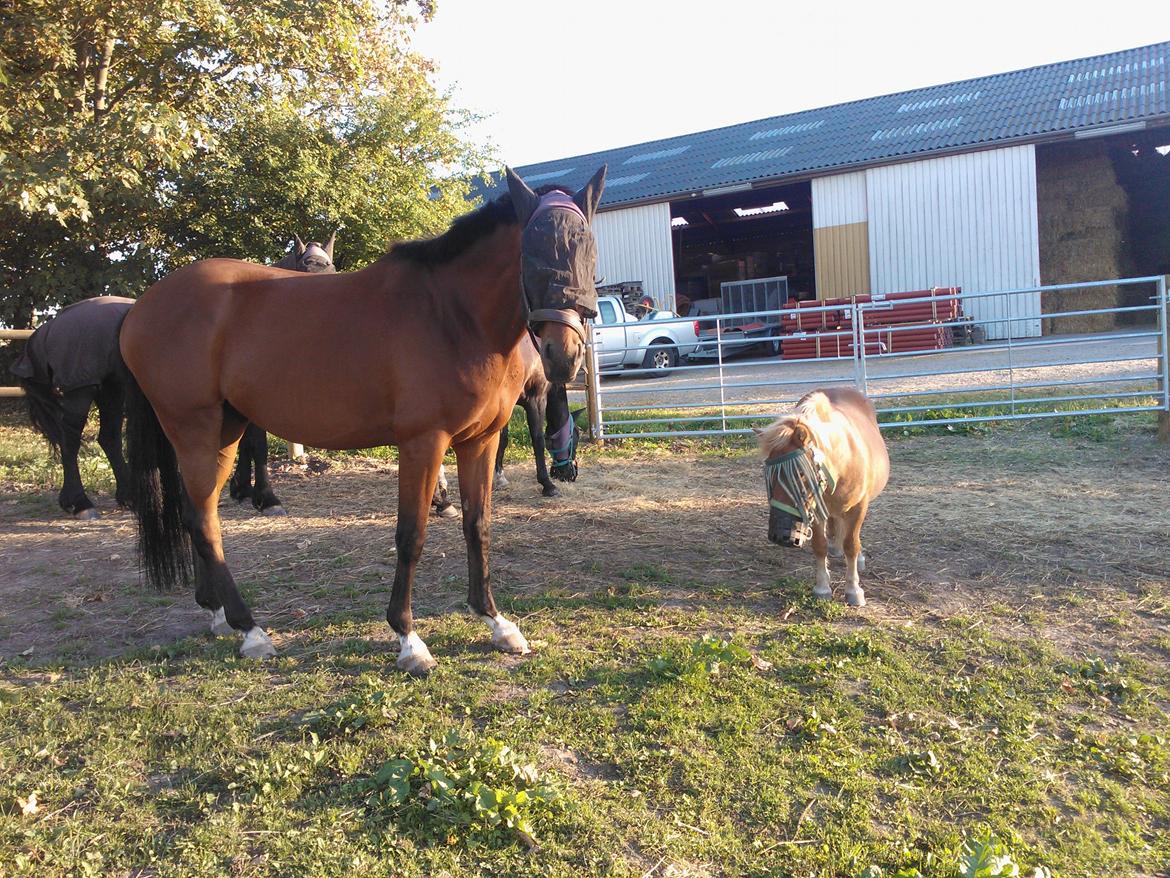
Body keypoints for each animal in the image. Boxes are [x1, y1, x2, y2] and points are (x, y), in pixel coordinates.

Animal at [756, 387, 889, 607]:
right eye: (769, 474)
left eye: (800, 473)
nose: (778, 535)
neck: (843, 461)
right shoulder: (816, 509)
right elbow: (820, 546)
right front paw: (822, 587)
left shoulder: (859, 507)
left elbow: (851, 545)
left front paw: (853, 589)